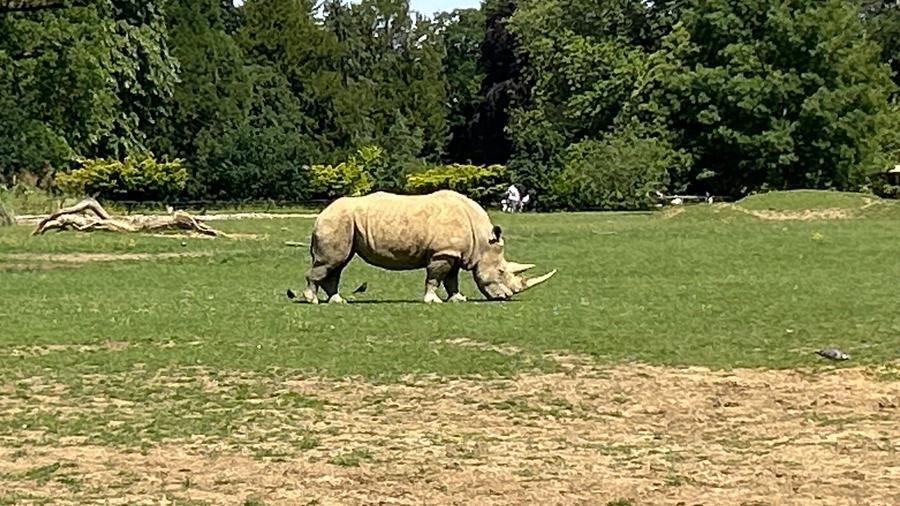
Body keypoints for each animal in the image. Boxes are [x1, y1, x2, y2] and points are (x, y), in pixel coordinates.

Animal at [298, 189, 557, 304]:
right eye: (501, 271)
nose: (505, 297)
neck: (483, 240)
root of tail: (321, 213)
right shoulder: (442, 253)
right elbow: (435, 277)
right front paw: (433, 300)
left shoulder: (454, 253)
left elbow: (452, 279)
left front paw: (458, 299)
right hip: (337, 221)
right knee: (331, 262)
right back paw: (311, 300)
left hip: (343, 223)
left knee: (338, 263)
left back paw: (337, 301)